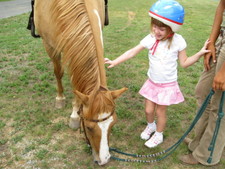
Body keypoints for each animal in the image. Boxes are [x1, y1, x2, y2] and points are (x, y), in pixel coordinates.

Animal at [34, 0, 127, 165]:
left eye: (113, 123)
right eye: (89, 127)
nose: (104, 160)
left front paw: (75, 113)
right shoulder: (49, 45)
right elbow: (59, 73)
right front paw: (63, 102)